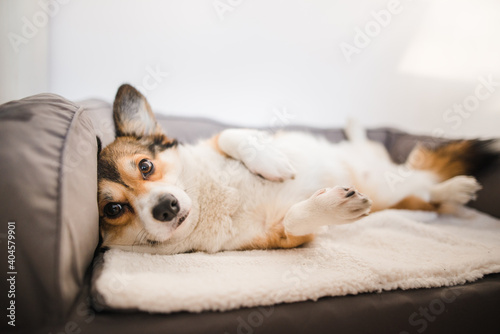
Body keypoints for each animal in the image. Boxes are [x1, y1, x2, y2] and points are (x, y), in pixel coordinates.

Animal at [96, 83, 496, 253]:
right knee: (427, 196)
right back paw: (456, 189)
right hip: (395, 193)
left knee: (398, 165)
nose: (166, 207)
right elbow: (294, 218)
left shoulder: (222, 140)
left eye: (146, 166)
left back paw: (356, 127)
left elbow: (230, 135)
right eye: (113, 209)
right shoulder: (281, 238)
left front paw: (271, 162)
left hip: (383, 172)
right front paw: (334, 205)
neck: (211, 202)